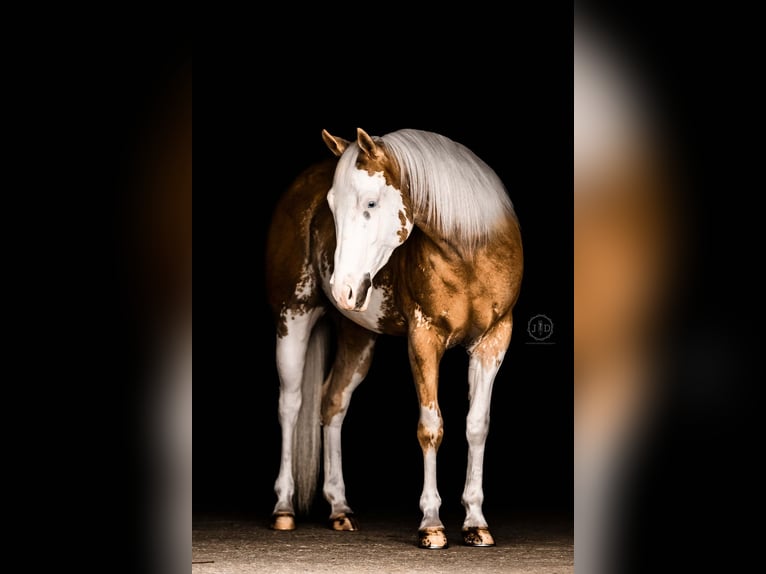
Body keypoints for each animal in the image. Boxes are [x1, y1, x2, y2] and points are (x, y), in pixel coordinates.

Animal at [265, 127, 523, 549]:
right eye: (332, 205)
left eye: (371, 202)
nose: (341, 290)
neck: (469, 253)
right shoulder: (423, 339)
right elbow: (431, 427)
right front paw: (432, 525)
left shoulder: (494, 340)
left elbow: (477, 426)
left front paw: (476, 523)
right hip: (293, 317)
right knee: (291, 405)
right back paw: (284, 509)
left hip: (358, 337)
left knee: (332, 404)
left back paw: (339, 509)